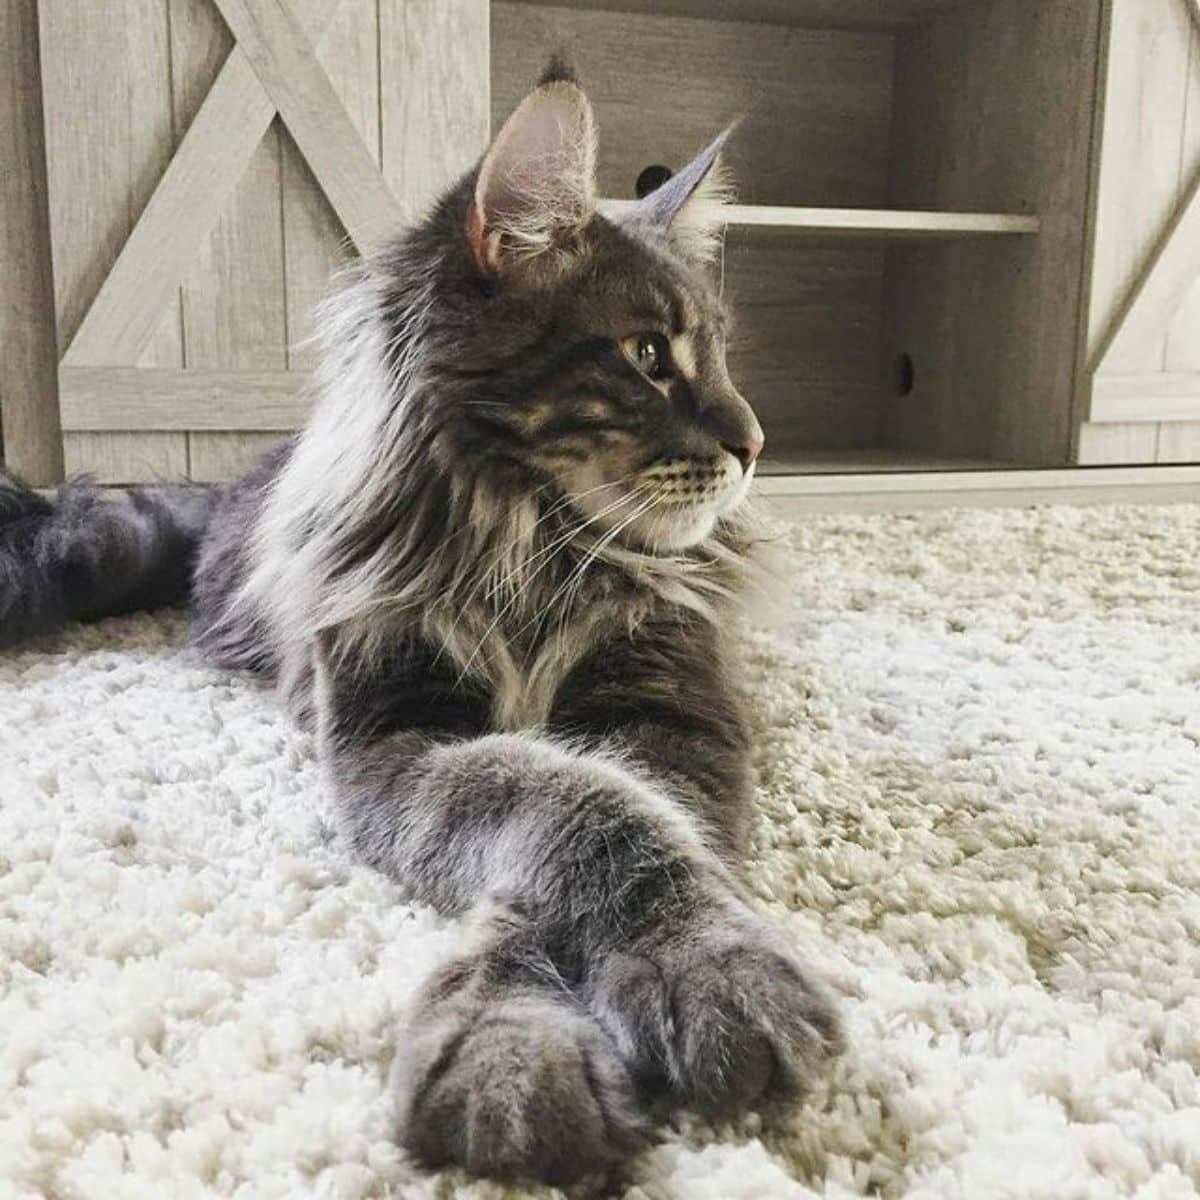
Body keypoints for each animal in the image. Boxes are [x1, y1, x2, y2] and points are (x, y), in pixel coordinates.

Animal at [0, 63, 840, 1180]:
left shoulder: (661, 708)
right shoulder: (397, 731)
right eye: (648, 355)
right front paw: (515, 1052)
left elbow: (626, 829)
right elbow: (575, 809)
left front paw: (677, 980)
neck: (527, 547)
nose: (755, 444)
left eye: (721, 357)